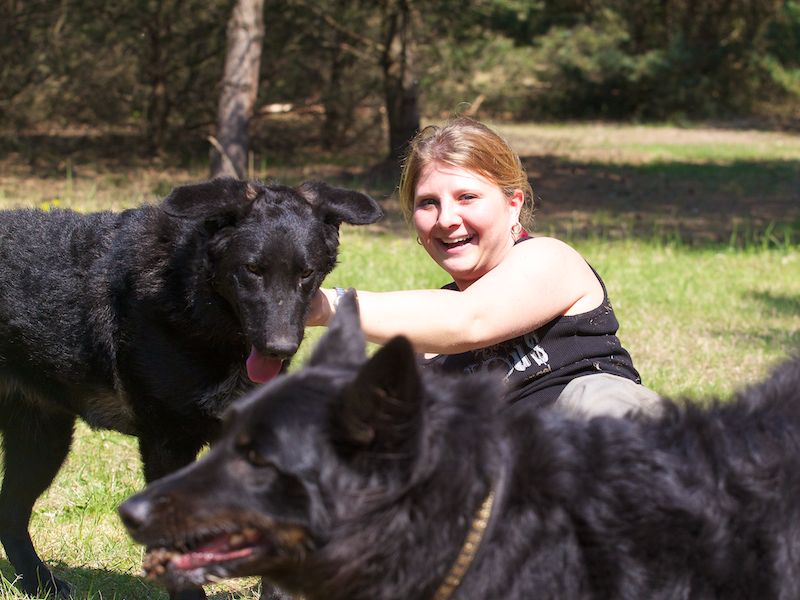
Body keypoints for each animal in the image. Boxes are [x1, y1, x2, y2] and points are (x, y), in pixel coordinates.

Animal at [0, 179, 382, 599]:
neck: (194, 296)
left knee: (10, 514)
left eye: (306, 273)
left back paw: (40, 582)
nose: (279, 348)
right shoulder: (167, 443)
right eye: (252, 270)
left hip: (41, 440)